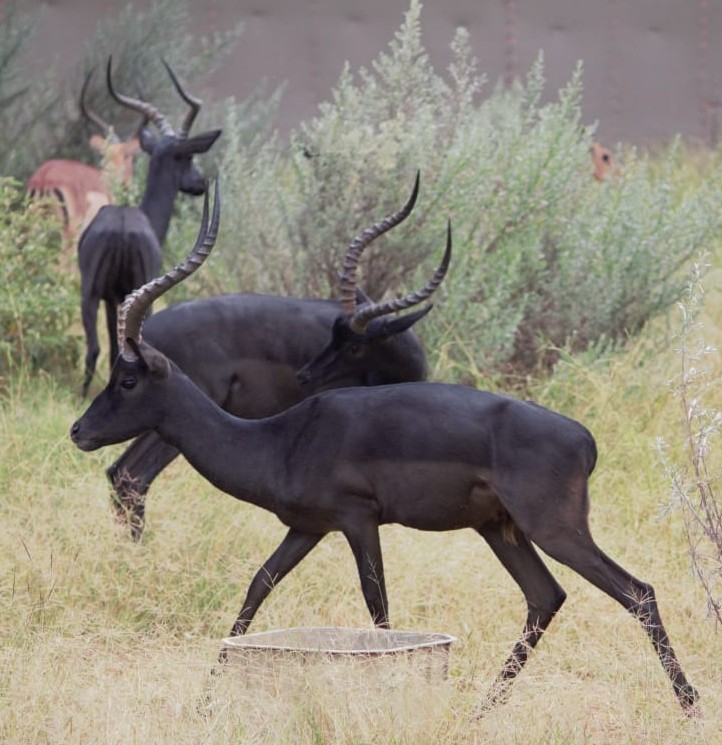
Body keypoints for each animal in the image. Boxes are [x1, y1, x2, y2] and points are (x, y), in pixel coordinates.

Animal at [78, 57, 221, 396]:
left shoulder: (113, 298)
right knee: (98, 348)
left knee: (94, 348)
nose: (199, 183)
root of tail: (121, 229)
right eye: (188, 156)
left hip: (89, 294)